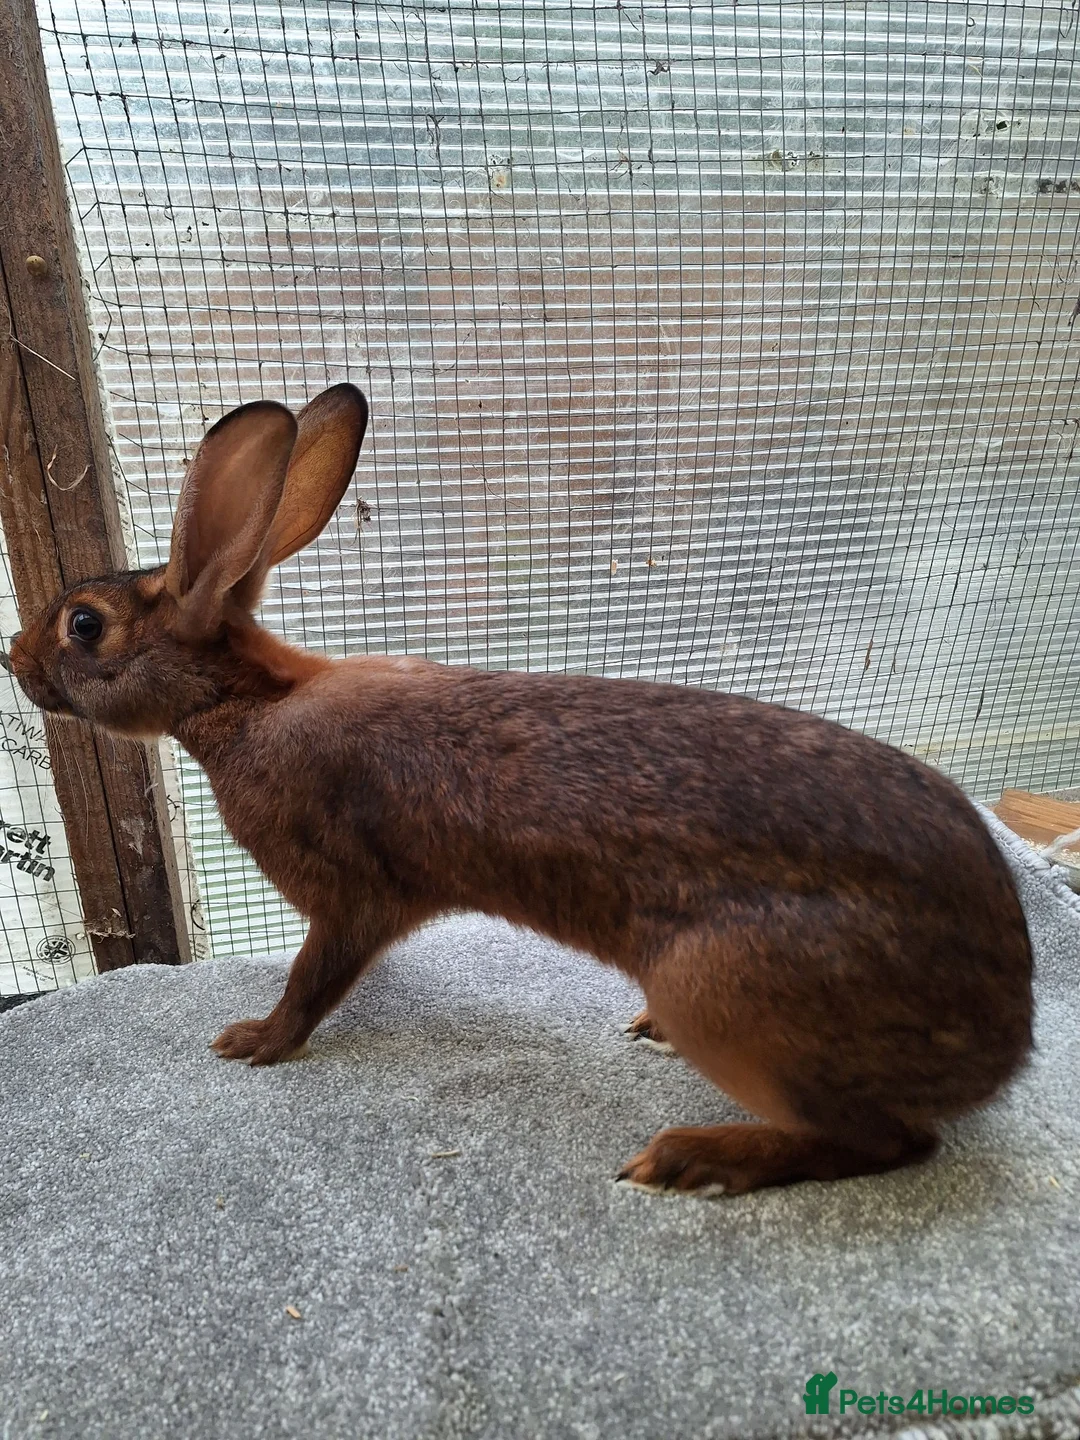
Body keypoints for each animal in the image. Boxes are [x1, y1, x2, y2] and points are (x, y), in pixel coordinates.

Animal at [7, 384, 1033, 1196]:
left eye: (85, 625)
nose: (14, 661)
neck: (246, 701)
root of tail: (1005, 1038)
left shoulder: (350, 893)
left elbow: (314, 979)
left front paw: (254, 1041)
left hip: (729, 991)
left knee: (893, 1142)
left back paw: (695, 1158)